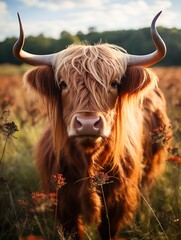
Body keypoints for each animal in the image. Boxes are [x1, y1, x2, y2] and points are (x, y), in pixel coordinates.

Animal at [13, 11, 170, 240]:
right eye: (63, 84)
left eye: (114, 83)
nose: (87, 124)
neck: (88, 160)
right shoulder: (64, 205)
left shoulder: (117, 203)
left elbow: (108, 230)